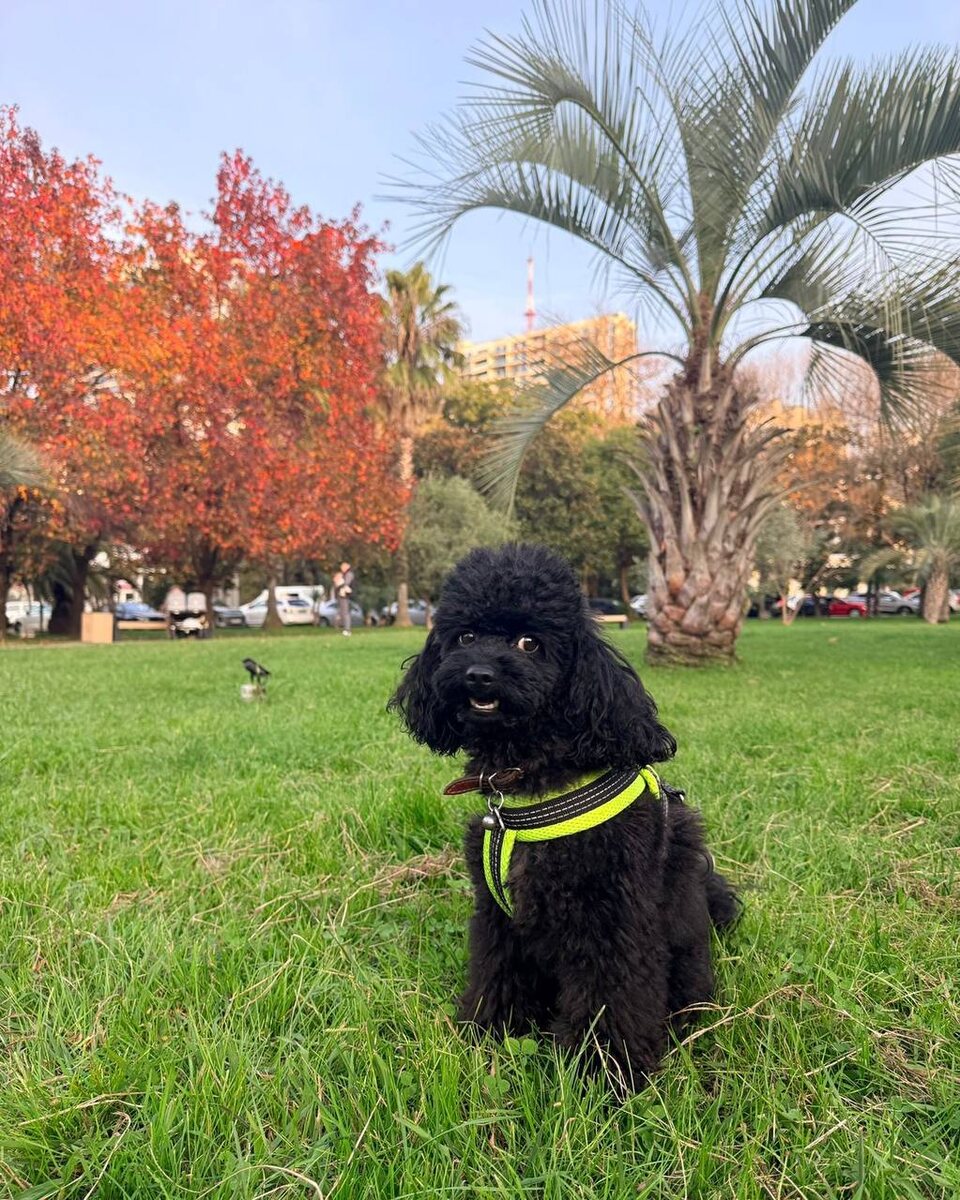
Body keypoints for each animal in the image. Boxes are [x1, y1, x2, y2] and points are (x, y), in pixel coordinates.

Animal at [389, 543, 739, 1088]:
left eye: (530, 643)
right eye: (465, 637)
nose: (478, 674)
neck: (531, 776)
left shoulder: (611, 917)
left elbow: (611, 995)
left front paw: (606, 1072)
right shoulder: (500, 916)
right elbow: (498, 973)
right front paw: (490, 1032)